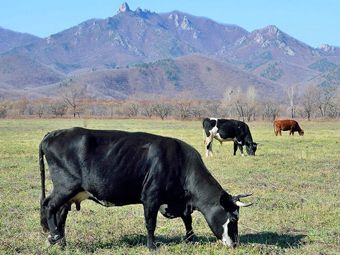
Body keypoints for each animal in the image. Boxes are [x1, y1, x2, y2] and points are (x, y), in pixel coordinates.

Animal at [39, 126, 252, 250]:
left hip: (71, 194)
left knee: (61, 214)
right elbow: (151, 224)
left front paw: (190, 238)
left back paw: (62, 243)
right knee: (48, 205)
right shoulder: (151, 197)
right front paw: (152, 246)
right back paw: (54, 236)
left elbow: (187, 219)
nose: (236, 244)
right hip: (65, 187)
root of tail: (54, 133)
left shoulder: (180, 202)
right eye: (234, 218)